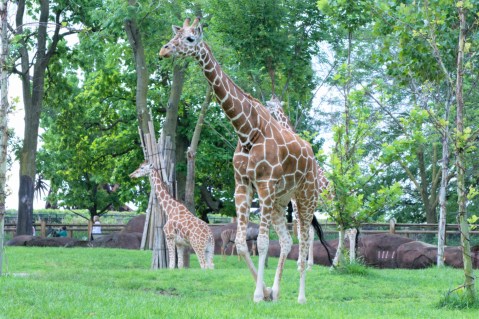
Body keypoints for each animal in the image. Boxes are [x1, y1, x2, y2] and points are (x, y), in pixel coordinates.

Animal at [159, 17, 328, 304]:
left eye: (190, 39)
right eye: (176, 35)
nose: (164, 50)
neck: (247, 130)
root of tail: (312, 157)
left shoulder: (265, 184)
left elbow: (261, 243)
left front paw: (259, 295)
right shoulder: (242, 184)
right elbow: (240, 244)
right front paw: (266, 291)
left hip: (305, 197)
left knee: (305, 241)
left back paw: (301, 297)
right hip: (281, 201)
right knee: (287, 241)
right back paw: (277, 291)